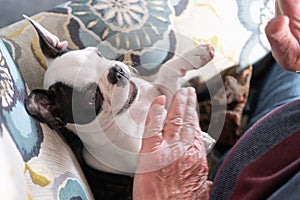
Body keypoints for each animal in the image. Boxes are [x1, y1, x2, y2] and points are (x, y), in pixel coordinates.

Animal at [24, 15, 214, 175]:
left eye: (98, 54)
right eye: (93, 97)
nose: (116, 72)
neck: (131, 111)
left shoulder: (164, 95)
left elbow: (167, 70)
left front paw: (198, 54)